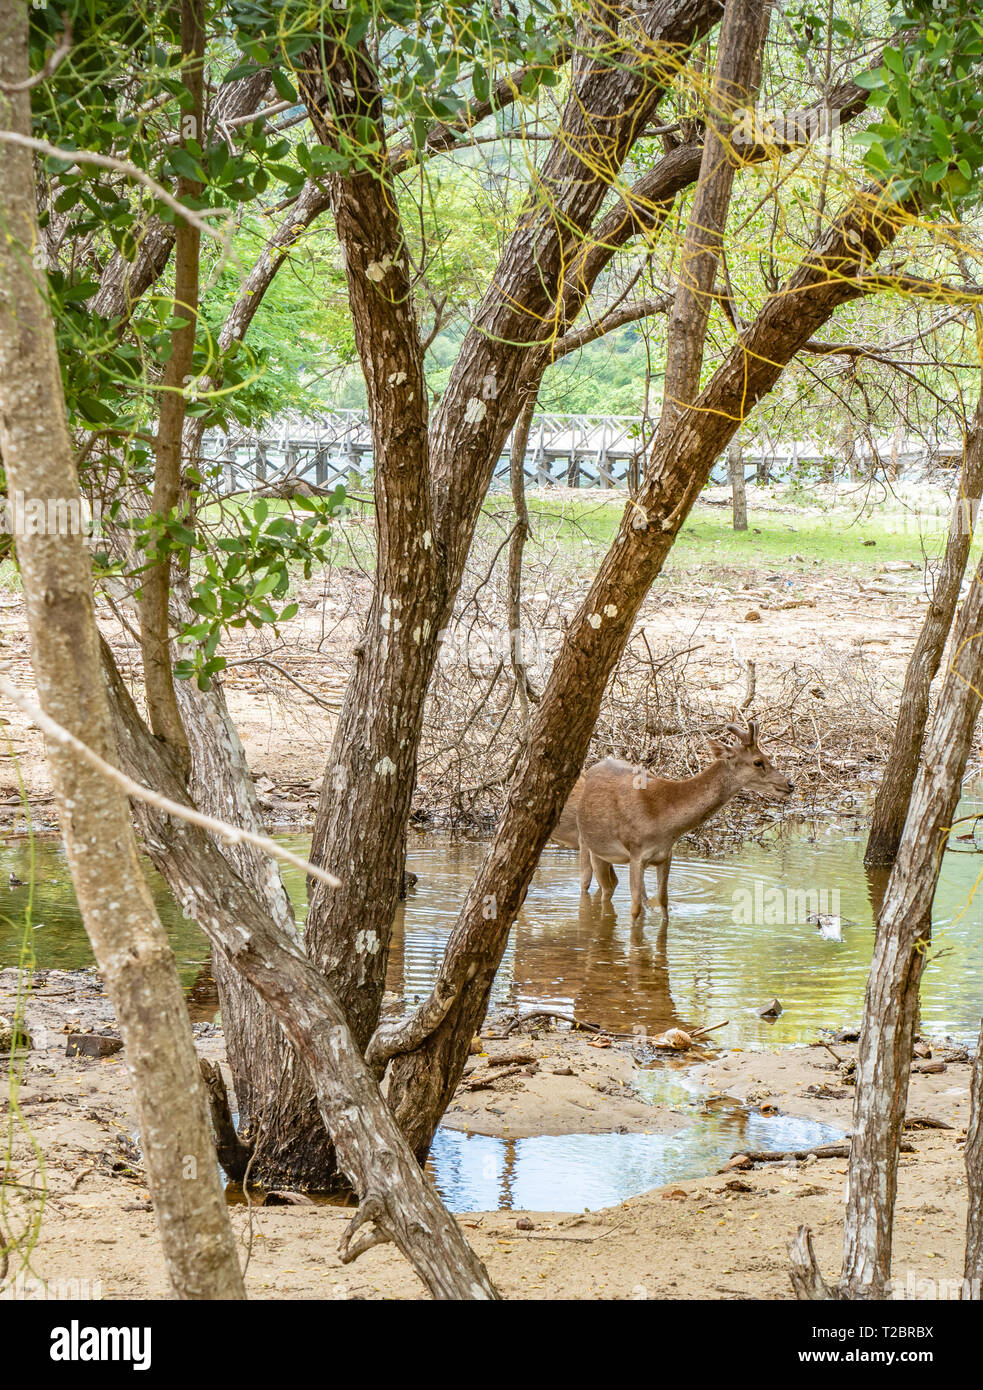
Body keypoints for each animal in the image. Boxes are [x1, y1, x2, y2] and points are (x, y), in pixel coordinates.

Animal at [551, 718, 794, 923]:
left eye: (767, 757)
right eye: (758, 762)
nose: (789, 784)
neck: (663, 818)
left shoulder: (665, 856)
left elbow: (663, 903)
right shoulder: (636, 853)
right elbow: (635, 908)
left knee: (611, 888)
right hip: (591, 845)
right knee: (592, 885)